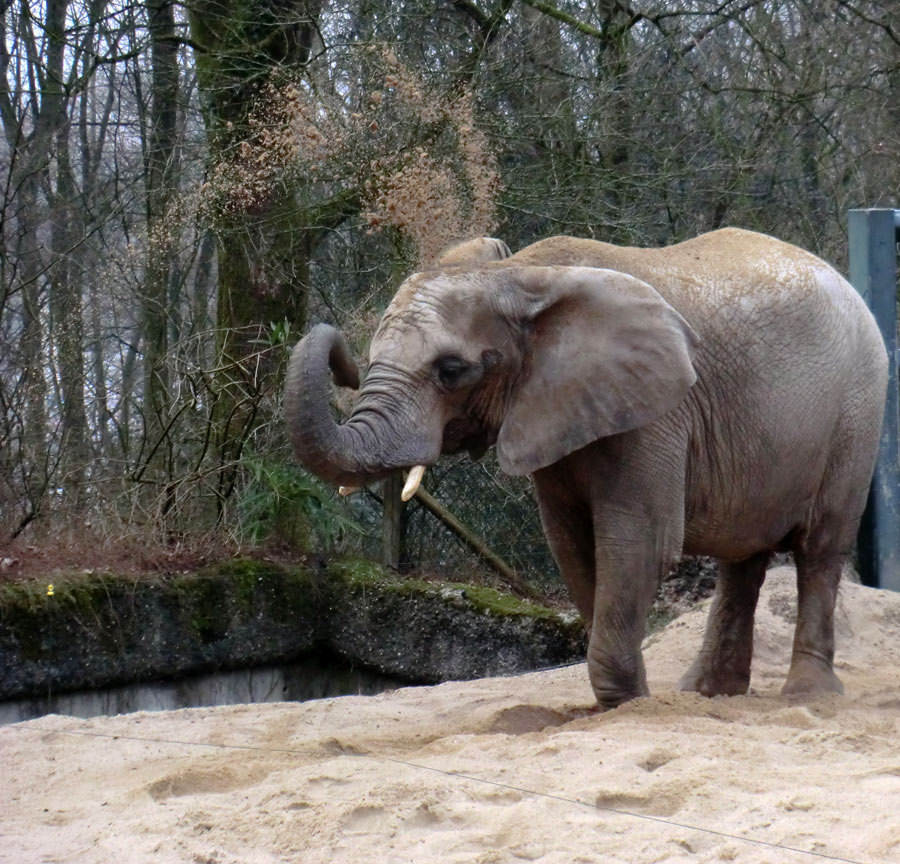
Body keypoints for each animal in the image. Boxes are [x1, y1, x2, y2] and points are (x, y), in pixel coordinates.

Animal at [284, 230, 888, 708]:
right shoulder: (553, 414)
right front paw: (621, 700)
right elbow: (572, 544)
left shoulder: (656, 411)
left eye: (451, 370)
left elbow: (638, 540)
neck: (519, 275)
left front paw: (629, 703)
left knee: (820, 548)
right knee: (744, 558)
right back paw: (708, 693)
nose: (342, 359)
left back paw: (807, 696)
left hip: (858, 410)